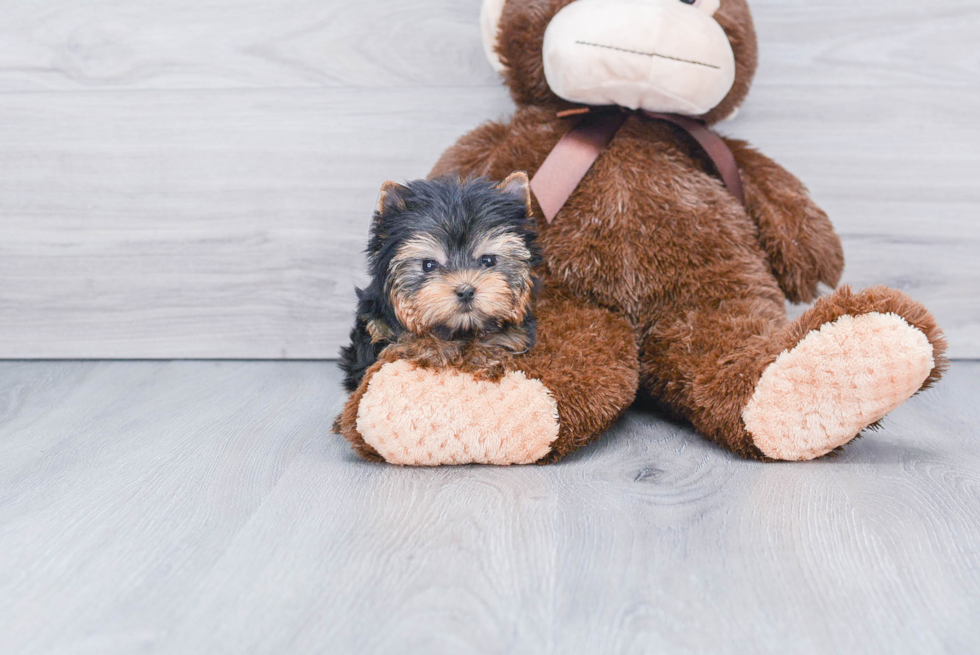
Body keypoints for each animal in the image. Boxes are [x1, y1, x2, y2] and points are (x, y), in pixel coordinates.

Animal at [342, 172, 544, 392]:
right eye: (429, 265)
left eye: (488, 260)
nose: (466, 291)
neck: (459, 331)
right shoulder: (376, 326)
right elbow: (407, 340)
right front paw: (431, 349)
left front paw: (484, 355)